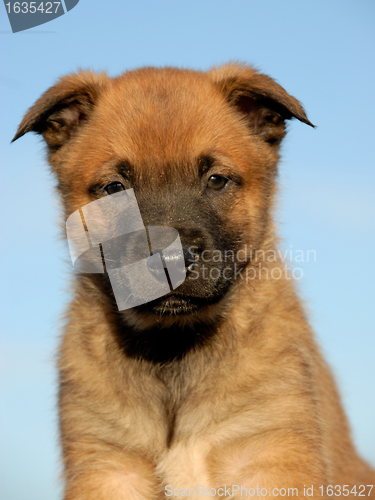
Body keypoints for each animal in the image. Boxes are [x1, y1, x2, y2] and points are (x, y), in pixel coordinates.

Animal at [13, 63, 374, 500]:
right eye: (115, 188)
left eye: (216, 180)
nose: (170, 260)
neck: (174, 347)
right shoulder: (108, 466)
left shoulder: (269, 454)